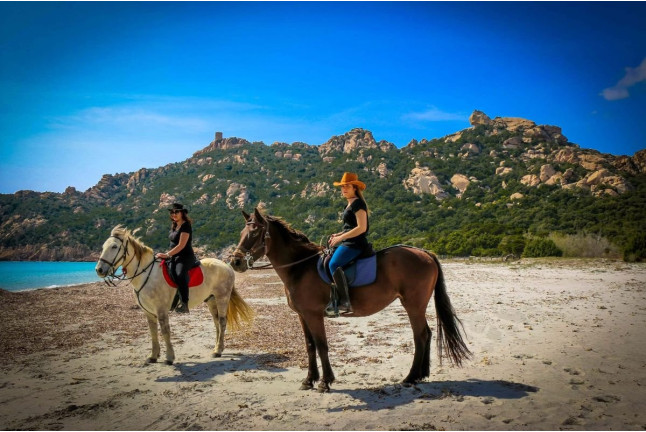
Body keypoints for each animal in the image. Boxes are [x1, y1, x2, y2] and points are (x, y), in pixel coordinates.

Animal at [95, 225, 253, 365]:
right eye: (103, 247)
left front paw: (169, 358)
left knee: (222, 321)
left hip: (222, 298)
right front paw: (153, 356)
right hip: (211, 300)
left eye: (114, 247)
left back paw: (218, 350)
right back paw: (216, 348)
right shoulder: (148, 312)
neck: (147, 274)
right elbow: (153, 332)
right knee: (216, 323)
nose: (99, 270)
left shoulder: (161, 310)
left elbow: (165, 331)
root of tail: (226, 265)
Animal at [230, 208, 471, 392]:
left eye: (255, 232)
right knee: (427, 334)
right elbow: (309, 346)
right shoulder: (302, 315)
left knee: (420, 335)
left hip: (413, 304)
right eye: (242, 231)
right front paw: (309, 380)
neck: (300, 267)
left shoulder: (314, 315)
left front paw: (325, 382)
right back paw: (422, 374)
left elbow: (322, 345)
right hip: (416, 305)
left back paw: (411, 377)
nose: (235, 262)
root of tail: (425, 252)